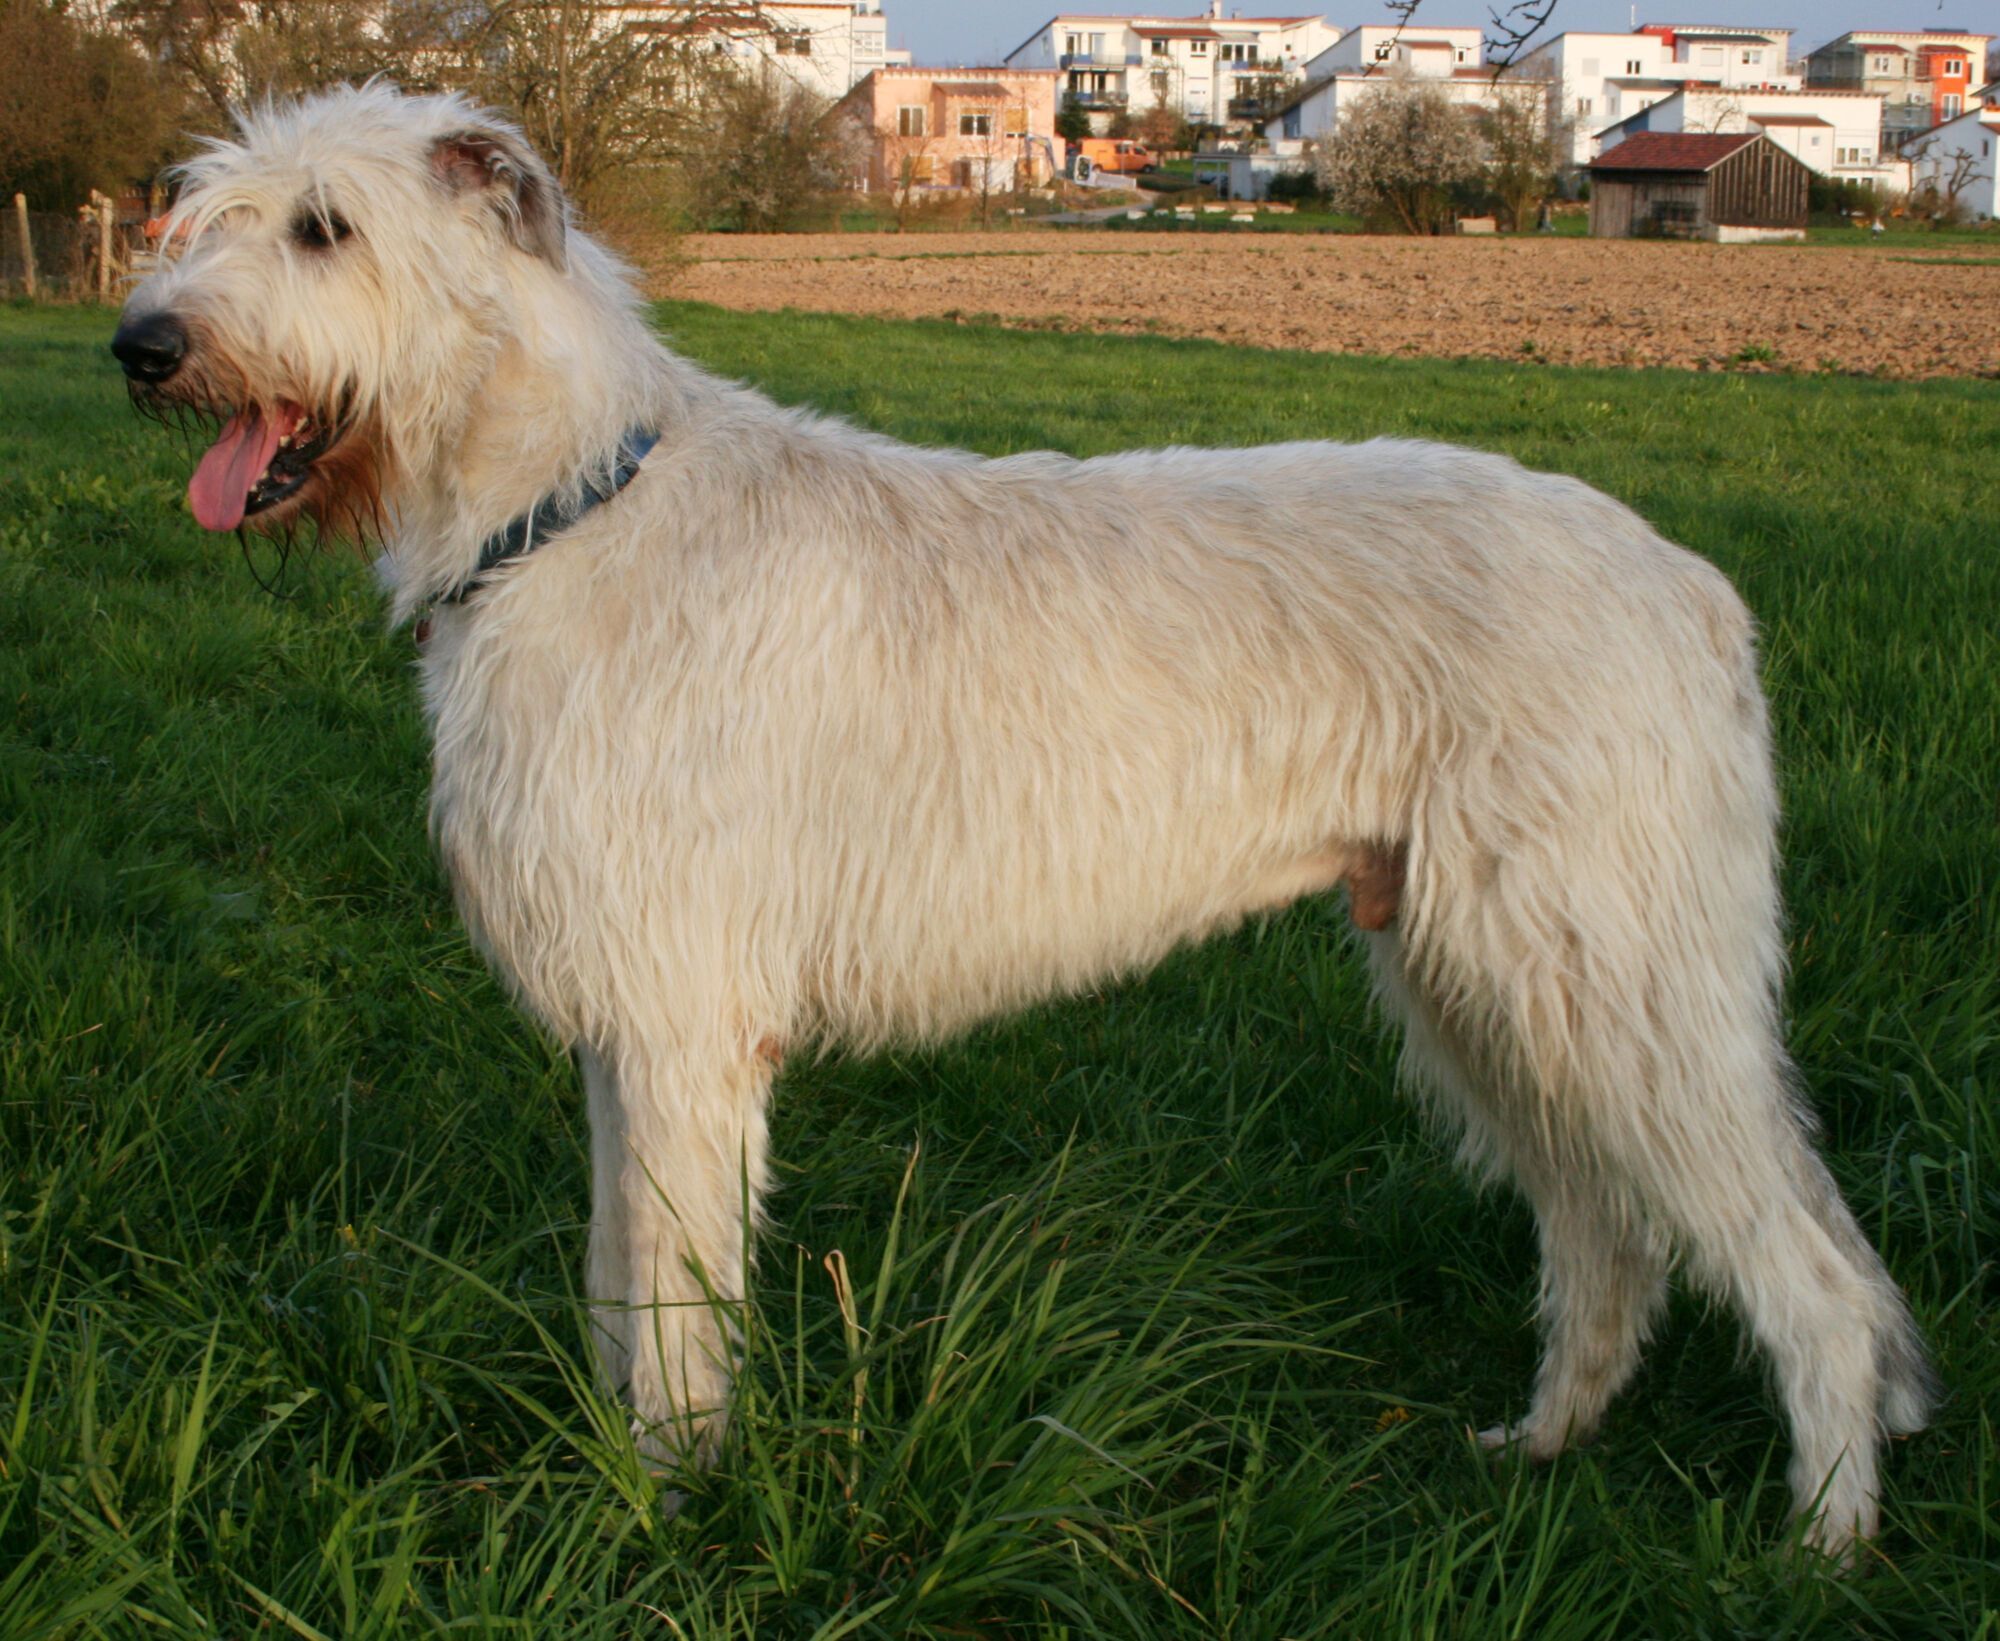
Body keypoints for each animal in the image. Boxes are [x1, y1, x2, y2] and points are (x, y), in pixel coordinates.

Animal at [117, 86, 1928, 1552]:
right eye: (198, 209)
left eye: (326, 225)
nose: (141, 347)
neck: (564, 510)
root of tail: (1696, 589)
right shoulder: (631, 1036)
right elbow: (622, 1278)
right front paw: (625, 1473)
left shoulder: (685, 1029)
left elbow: (681, 1311)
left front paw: (662, 1510)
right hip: (1490, 972)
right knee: (1610, 1232)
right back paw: (1544, 1444)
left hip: (1602, 966)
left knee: (1807, 1269)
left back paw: (1821, 1540)